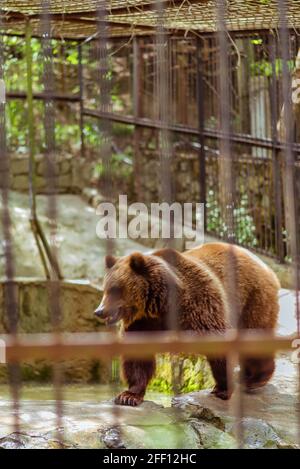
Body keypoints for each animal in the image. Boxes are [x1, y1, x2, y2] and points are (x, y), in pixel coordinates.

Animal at [95, 241, 280, 406]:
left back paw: (255, 379)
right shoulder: (143, 322)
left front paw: (222, 388)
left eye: (115, 290)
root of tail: (264, 264)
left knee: (254, 335)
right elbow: (138, 356)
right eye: (105, 289)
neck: (159, 303)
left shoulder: (199, 303)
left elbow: (218, 343)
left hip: (252, 298)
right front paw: (128, 395)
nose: (99, 311)